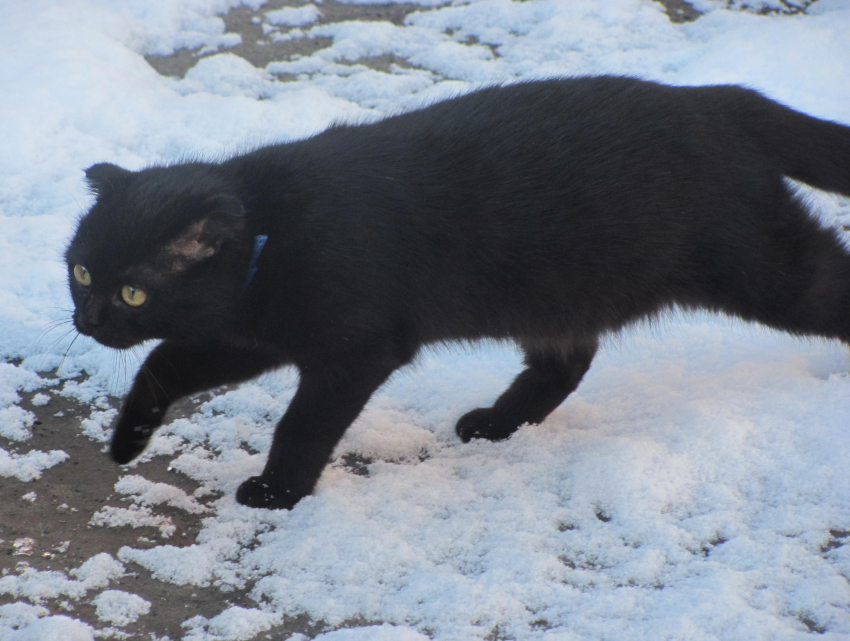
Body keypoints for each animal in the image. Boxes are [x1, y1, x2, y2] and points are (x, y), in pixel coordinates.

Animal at [66, 75, 848, 508]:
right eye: (79, 271)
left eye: (132, 292)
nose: (86, 319)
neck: (269, 234)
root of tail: (713, 99)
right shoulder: (249, 334)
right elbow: (162, 361)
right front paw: (128, 441)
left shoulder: (354, 347)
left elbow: (303, 424)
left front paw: (278, 493)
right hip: (555, 290)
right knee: (567, 361)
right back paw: (497, 423)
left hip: (760, 265)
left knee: (830, 278)